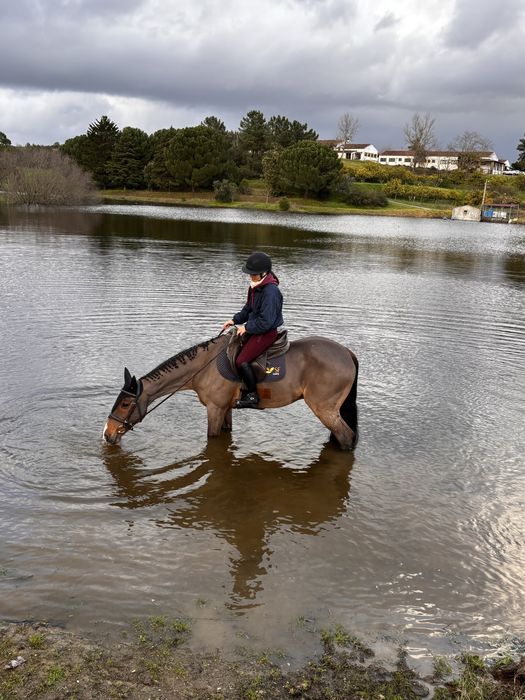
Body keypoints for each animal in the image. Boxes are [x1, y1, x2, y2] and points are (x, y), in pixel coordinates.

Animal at [103, 330, 359, 449]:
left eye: (125, 404)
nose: (107, 433)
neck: (203, 367)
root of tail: (346, 352)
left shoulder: (215, 409)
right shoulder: (225, 408)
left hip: (324, 408)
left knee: (346, 436)